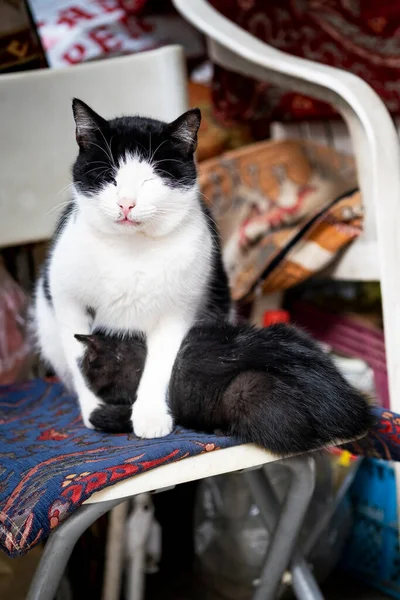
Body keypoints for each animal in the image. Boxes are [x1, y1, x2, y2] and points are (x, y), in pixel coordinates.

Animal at [30, 98, 230, 436]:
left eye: (150, 181)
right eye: (110, 177)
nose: (126, 203)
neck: (129, 249)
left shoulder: (177, 312)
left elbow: (158, 365)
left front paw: (150, 416)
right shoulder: (67, 301)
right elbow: (80, 361)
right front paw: (96, 411)